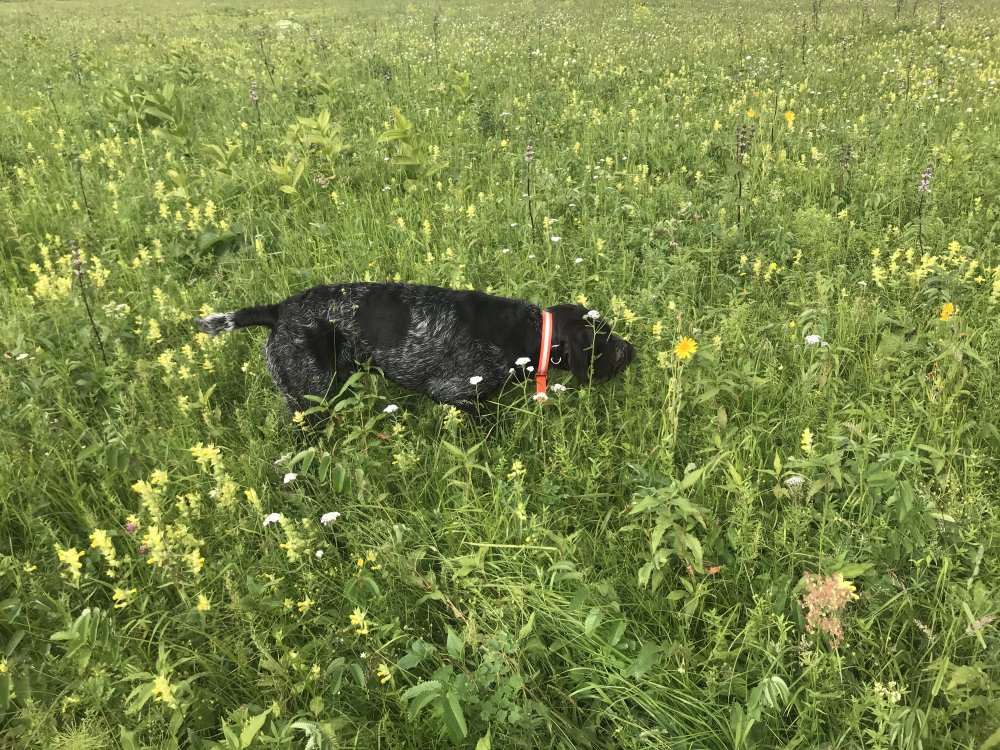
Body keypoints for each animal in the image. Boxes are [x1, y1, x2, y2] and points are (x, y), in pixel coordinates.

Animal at [196, 282, 635, 418]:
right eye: (604, 335)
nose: (632, 352)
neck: (527, 333)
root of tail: (278, 310)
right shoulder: (458, 394)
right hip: (310, 400)